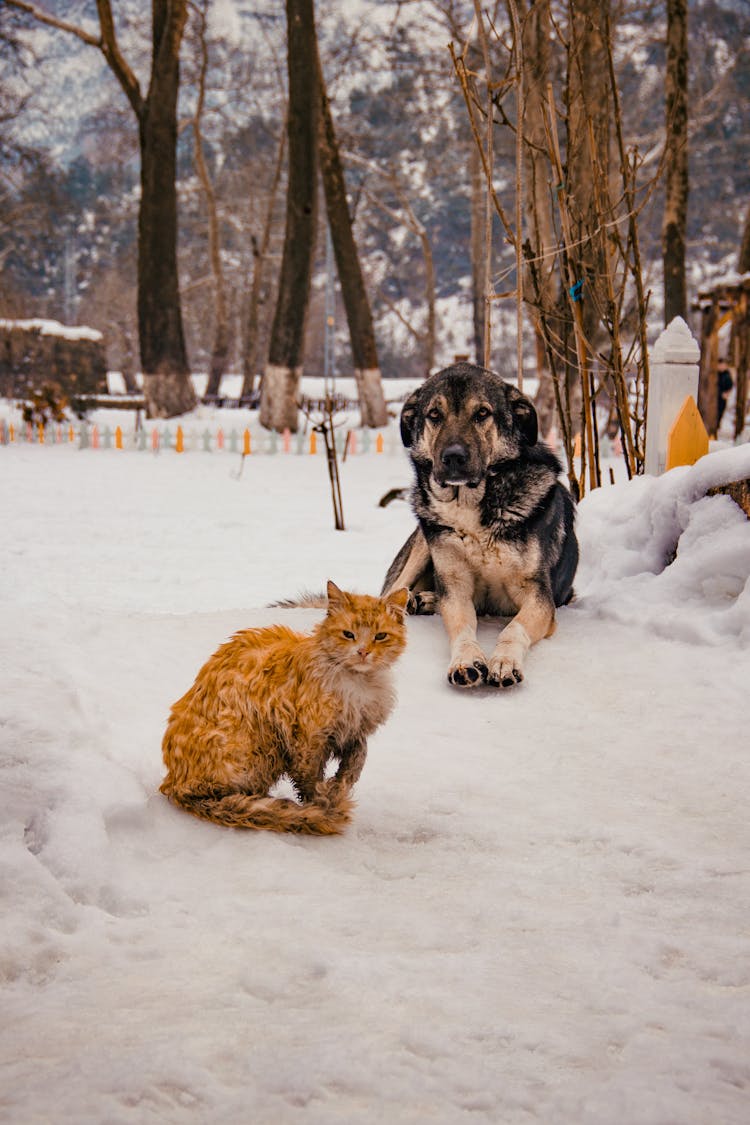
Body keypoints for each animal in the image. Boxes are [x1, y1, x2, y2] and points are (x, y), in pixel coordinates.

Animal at [159, 580, 411, 837]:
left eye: (380, 636)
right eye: (348, 634)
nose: (362, 652)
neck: (358, 685)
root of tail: (174, 784)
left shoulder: (356, 729)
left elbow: (357, 761)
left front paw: (339, 786)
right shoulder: (307, 737)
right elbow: (309, 778)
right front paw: (320, 805)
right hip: (262, 744)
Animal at [384, 364, 580, 688]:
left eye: (482, 413)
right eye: (434, 414)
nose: (453, 457)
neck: (473, 511)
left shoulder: (539, 598)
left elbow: (513, 628)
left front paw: (504, 661)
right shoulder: (456, 587)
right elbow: (463, 627)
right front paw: (467, 660)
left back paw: (423, 600)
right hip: (425, 539)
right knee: (392, 593)